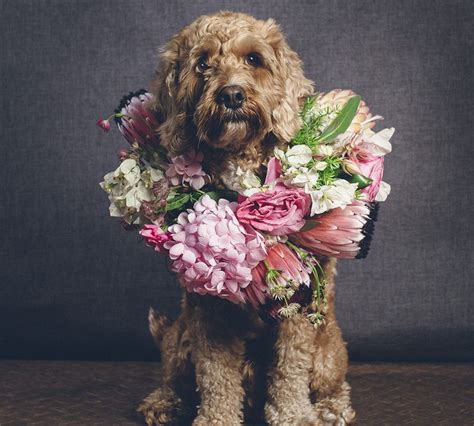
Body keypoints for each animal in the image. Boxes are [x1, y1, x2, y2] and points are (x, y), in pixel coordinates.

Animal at [137, 10, 356, 426]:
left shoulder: (298, 305)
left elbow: (289, 370)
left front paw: (295, 416)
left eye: (254, 59)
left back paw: (331, 408)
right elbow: (215, 374)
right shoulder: (207, 310)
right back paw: (163, 403)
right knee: (174, 373)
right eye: (202, 63)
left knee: (331, 382)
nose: (232, 95)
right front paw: (215, 418)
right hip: (181, 336)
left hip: (328, 351)